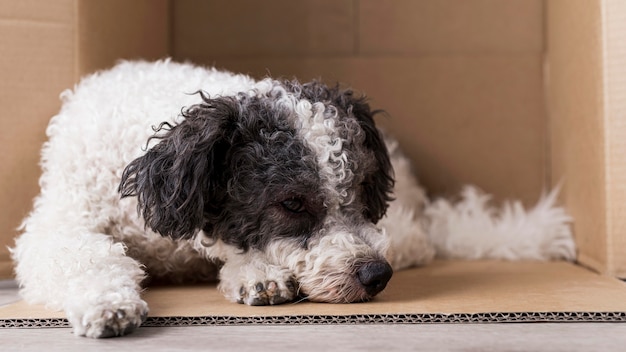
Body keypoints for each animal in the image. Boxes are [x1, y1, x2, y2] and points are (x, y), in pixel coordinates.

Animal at [11, 60, 576, 338]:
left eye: (359, 193)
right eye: (292, 203)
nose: (376, 275)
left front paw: (255, 275)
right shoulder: (61, 221)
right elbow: (81, 255)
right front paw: (108, 304)